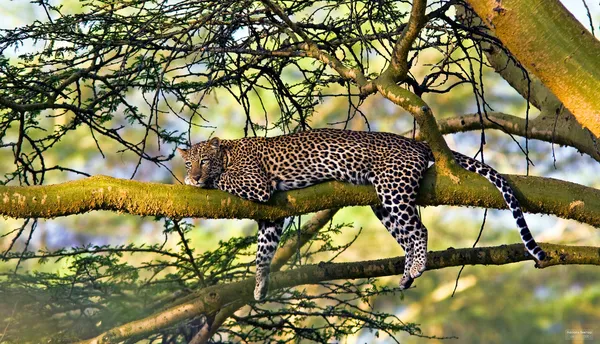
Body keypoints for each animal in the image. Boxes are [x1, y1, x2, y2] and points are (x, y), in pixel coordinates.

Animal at [176, 127, 548, 300]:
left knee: (420, 231)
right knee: (410, 234)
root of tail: (416, 142)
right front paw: (259, 286)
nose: (191, 175)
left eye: (203, 161)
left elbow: (225, 180)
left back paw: (416, 267)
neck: (228, 150)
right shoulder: (271, 214)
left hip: (393, 189)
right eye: (188, 161)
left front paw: (204, 182)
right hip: (383, 202)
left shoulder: (257, 185)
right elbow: (263, 252)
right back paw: (407, 275)